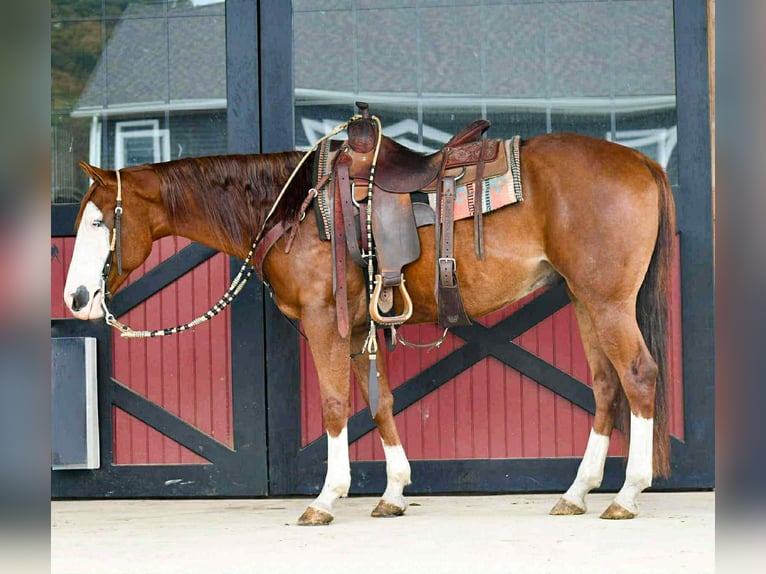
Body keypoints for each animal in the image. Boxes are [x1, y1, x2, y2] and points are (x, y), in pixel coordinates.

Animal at [63, 131, 675, 525]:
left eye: (99, 221)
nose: (76, 299)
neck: (292, 208)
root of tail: (640, 162)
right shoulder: (358, 327)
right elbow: (379, 402)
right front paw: (395, 493)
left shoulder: (324, 324)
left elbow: (336, 405)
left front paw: (326, 499)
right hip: (583, 297)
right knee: (605, 384)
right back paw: (577, 492)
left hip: (607, 300)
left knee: (639, 375)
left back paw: (628, 494)